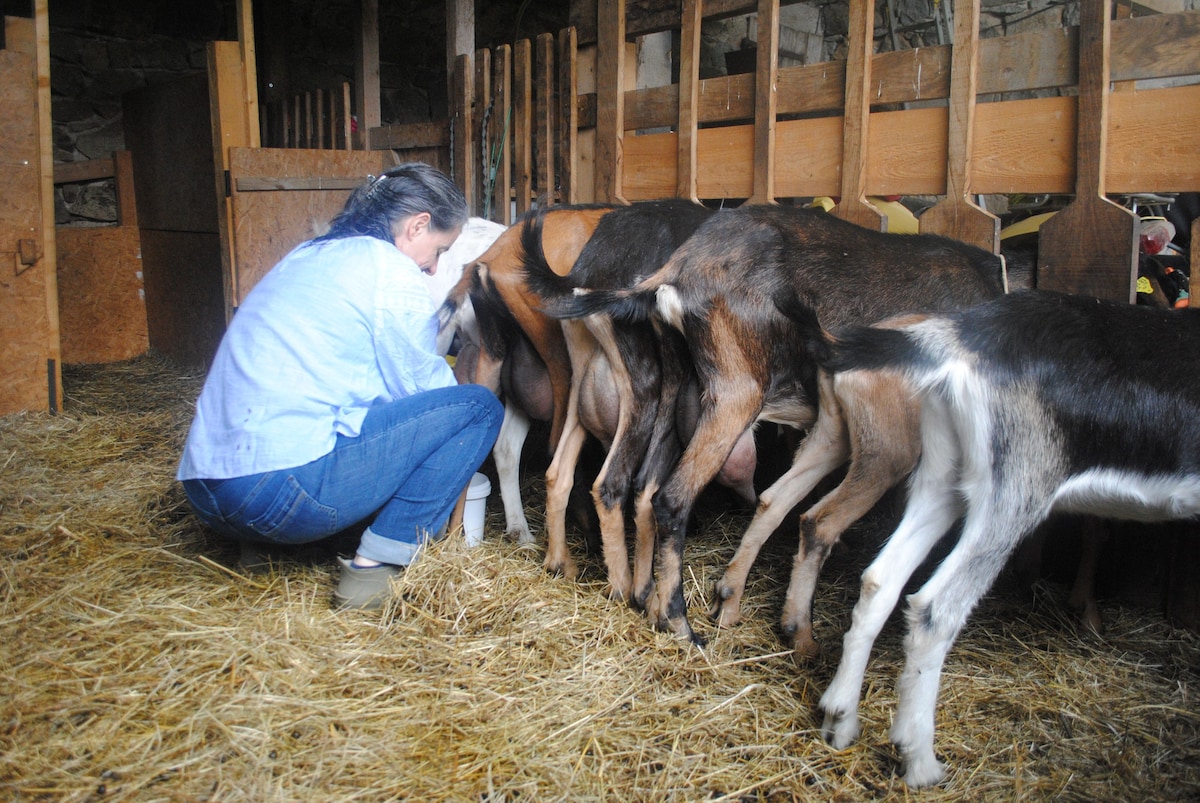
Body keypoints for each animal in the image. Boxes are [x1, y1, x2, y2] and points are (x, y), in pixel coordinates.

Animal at [552, 205, 1012, 643]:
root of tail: (679, 270)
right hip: (731, 394)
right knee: (660, 496)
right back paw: (675, 620)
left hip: (666, 389)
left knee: (622, 484)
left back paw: (621, 589)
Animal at [796, 288, 1200, 782]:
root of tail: (954, 337)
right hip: (1014, 490)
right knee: (935, 607)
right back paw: (920, 760)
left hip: (943, 474)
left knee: (880, 579)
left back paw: (840, 718)